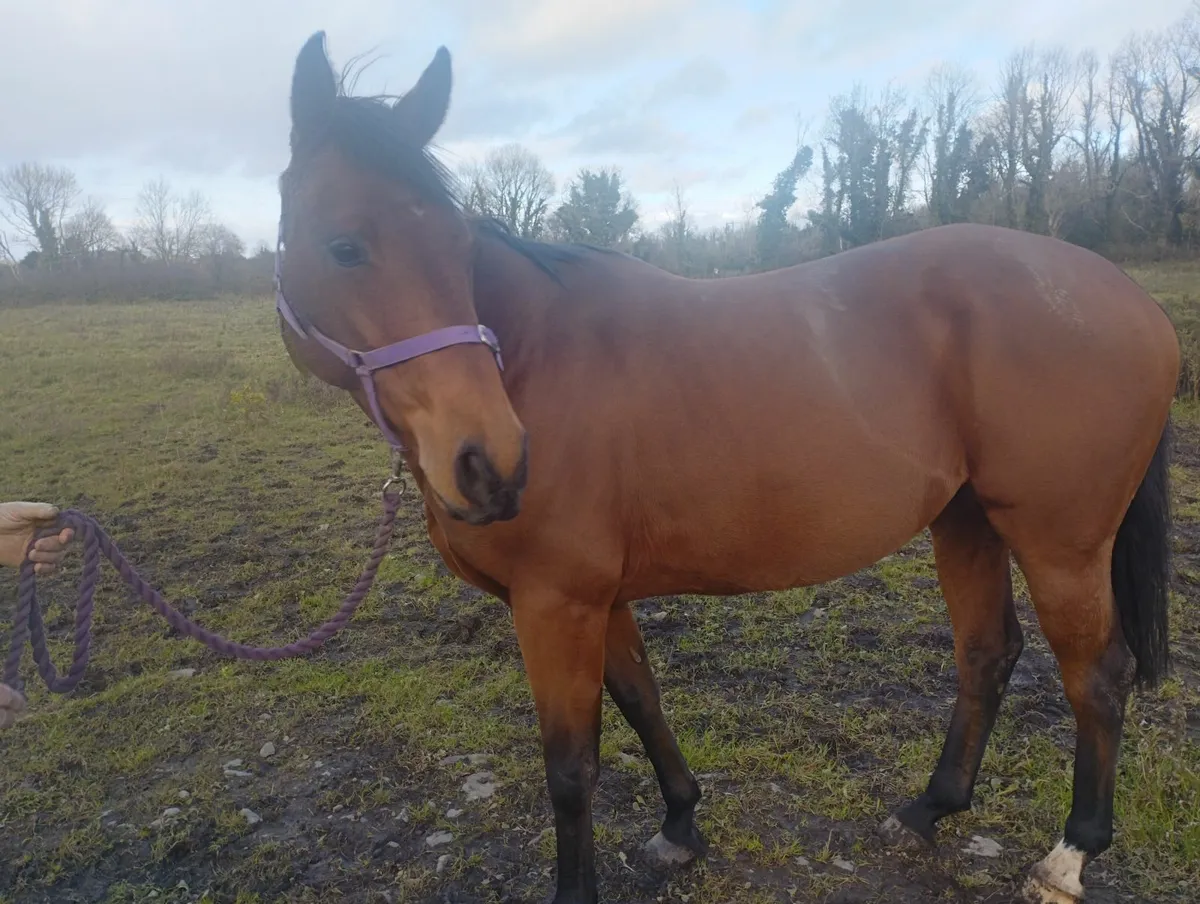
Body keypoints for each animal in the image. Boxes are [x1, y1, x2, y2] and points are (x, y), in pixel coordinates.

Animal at [274, 32, 1179, 904]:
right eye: (344, 246)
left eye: (460, 247)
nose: (491, 461)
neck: (535, 356)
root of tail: (1137, 304)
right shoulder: (600, 598)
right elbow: (642, 702)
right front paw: (680, 824)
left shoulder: (555, 602)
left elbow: (570, 768)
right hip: (966, 523)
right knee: (988, 653)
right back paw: (928, 809)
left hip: (1061, 546)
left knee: (1098, 677)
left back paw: (1067, 859)